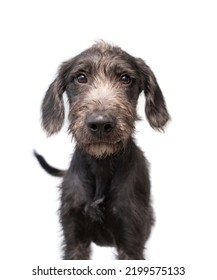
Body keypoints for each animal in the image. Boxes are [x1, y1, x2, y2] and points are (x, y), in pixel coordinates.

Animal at [34, 40, 170, 260]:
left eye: (125, 78)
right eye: (81, 77)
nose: (100, 124)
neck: (101, 165)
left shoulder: (131, 238)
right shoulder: (74, 237)